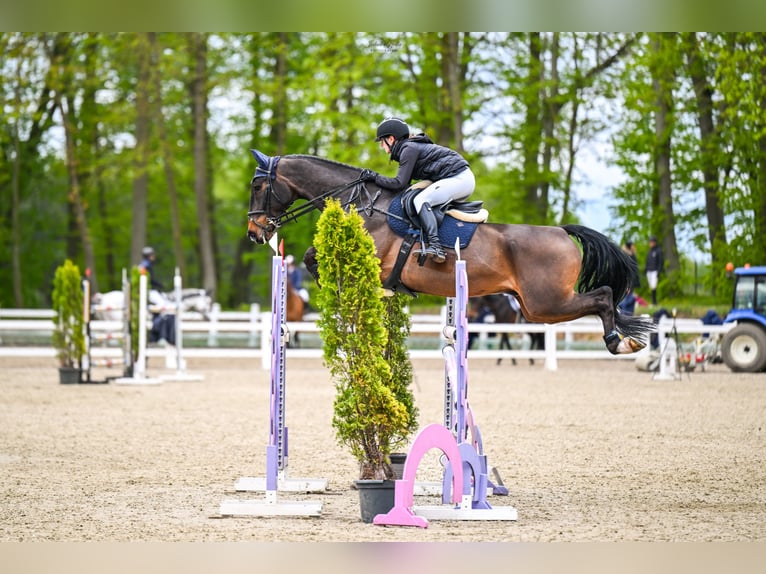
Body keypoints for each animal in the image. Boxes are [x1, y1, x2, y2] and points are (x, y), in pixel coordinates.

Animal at [245, 150, 653, 354]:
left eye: (258, 186)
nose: (254, 232)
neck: (363, 201)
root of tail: (561, 231)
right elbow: (313, 257)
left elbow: (315, 259)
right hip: (537, 305)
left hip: (545, 303)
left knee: (603, 296)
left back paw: (620, 341)